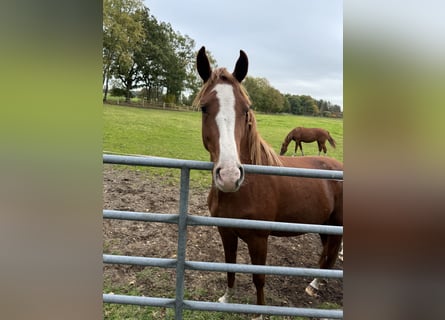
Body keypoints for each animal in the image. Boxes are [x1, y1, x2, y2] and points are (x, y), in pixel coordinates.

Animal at [194, 46, 344, 316]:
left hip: (336, 225)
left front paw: (261, 311)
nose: (230, 176)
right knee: (327, 253)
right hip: (324, 225)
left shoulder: (258, 239)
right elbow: (229, 266)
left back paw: (315, 284)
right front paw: (227, 299)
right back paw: (316, 283)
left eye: (246, 108)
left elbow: (259, 278)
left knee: (331, 254)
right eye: (204, 107)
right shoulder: (225, 231)